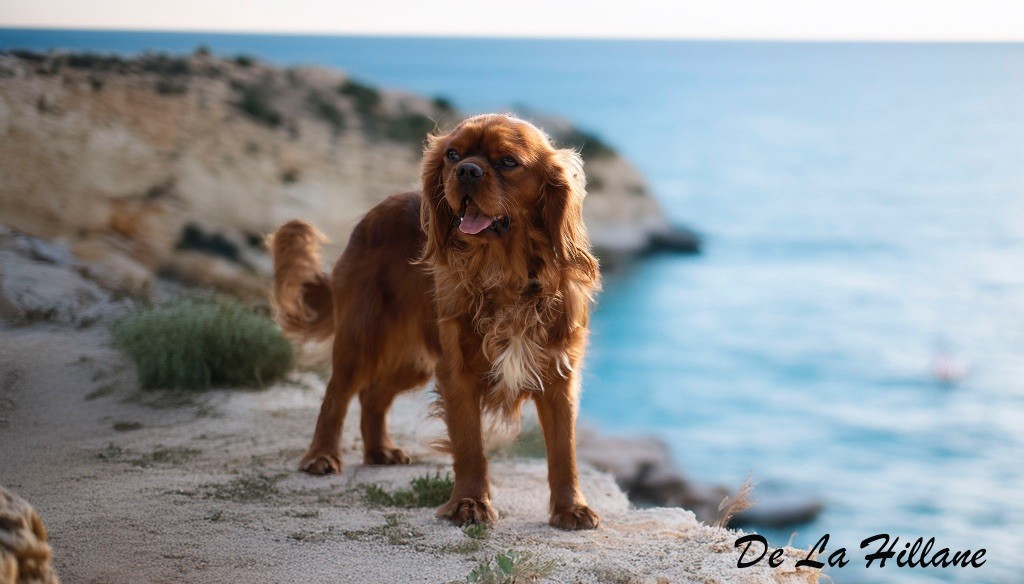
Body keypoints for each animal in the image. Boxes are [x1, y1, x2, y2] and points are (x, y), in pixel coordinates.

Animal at [269, 113, 601, 529]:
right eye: (452, 154)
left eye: (508, 161)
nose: (467, 170)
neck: (502, 273)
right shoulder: (457, 371)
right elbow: (470, 445)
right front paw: (469, 503)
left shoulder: (559, 375)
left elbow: (563, 450)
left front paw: (570, 508)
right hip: (361, 340)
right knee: (337, 395)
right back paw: (321, 456)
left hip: (416, 362)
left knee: (373, 394)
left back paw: (379, 450)